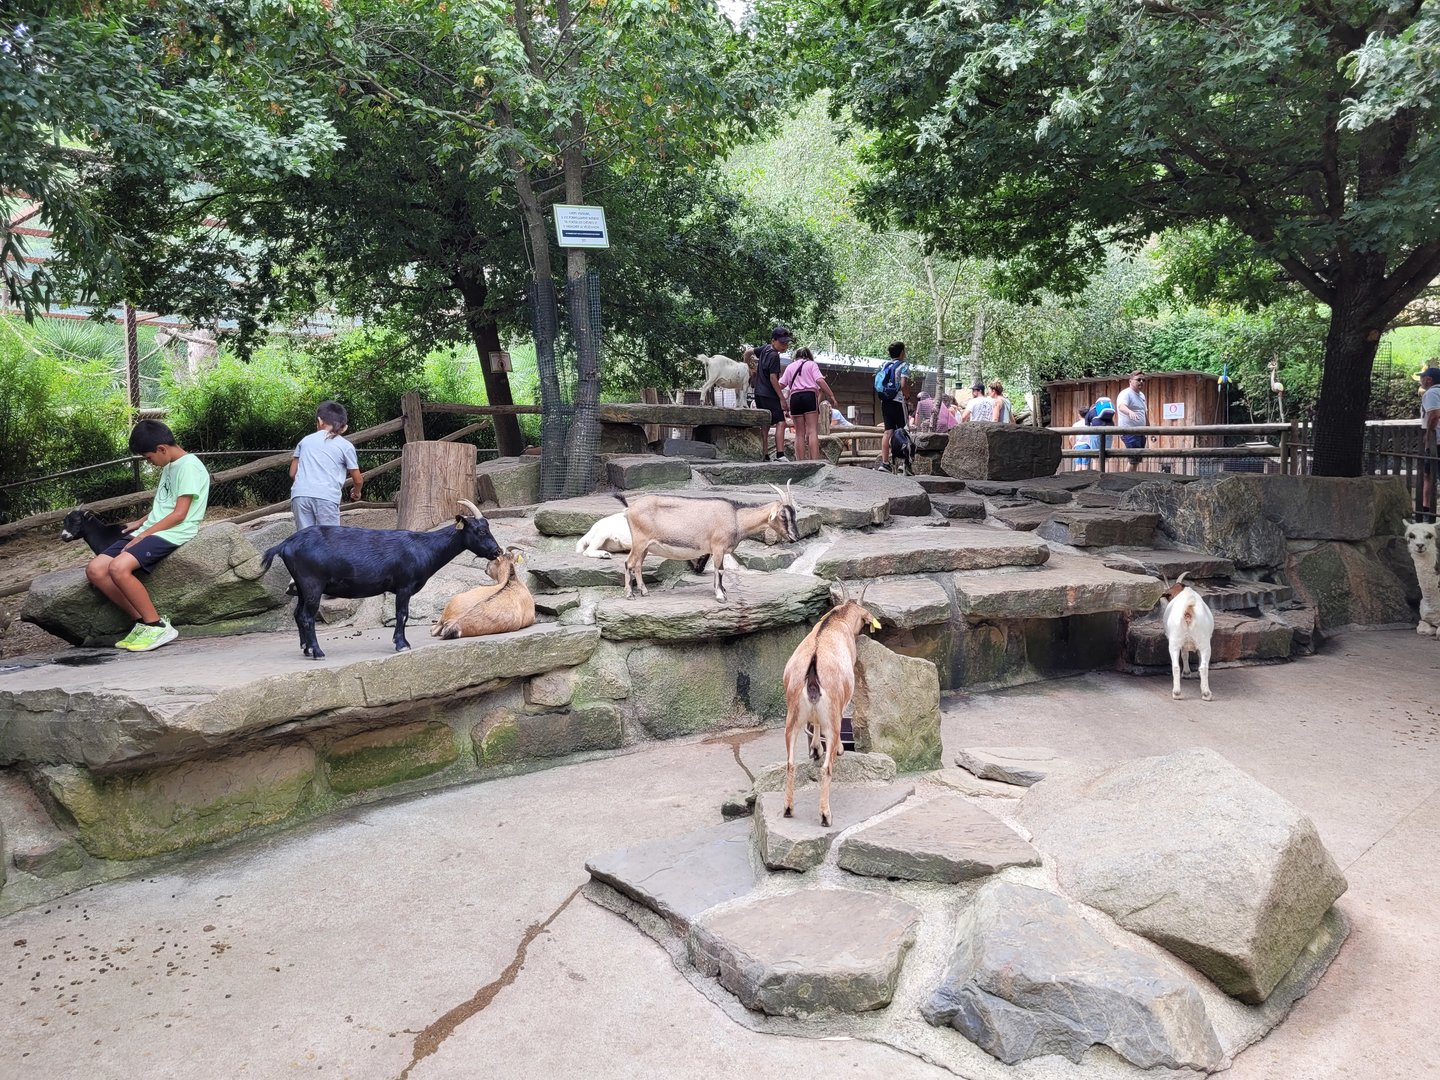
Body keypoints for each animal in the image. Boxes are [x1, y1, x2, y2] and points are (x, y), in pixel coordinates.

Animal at [260, 499, 502, 660]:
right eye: (480, 531)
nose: (497, 551)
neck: (424, 547)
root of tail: (285, 545)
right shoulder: (404, 585)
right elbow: (402, 614)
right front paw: (402, 644)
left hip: (302, 586)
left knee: (298, 614)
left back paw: (307, 649)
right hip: (312, 584)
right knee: (307, 617)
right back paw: (318, 652)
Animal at [619, 483, 799, 603]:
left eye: (794, 514)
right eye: (783, 515)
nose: (795, 537)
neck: (736, 518)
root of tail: (629, 510)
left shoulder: (717, 551)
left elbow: (718, 570)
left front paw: (721, 590)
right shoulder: (718, 547)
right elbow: (719, 569)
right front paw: (720, 596)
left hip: (645, 546)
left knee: (638, 565)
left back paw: (644, 592)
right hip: (640, 541)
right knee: (629, 563)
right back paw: (630, 594)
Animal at [781, 591, 881, 827]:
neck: (837, 620)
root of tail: (812, 672)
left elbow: (815, 724)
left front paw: (816, 749)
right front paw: (836, 749)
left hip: (792, 717)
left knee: (790, 763)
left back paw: (788, 809)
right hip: (832, 719)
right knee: (827, 767)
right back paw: (826, 816)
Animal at [1163, 572, 1215, 701]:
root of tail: (1188, 609)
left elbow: (1185, 654)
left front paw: (1187, 673)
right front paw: (1187, 673)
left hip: (1175, 641)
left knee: (1176, 666)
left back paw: (1178, 693)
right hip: (1203, 642)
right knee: (1203, 666)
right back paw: (1205, 693)